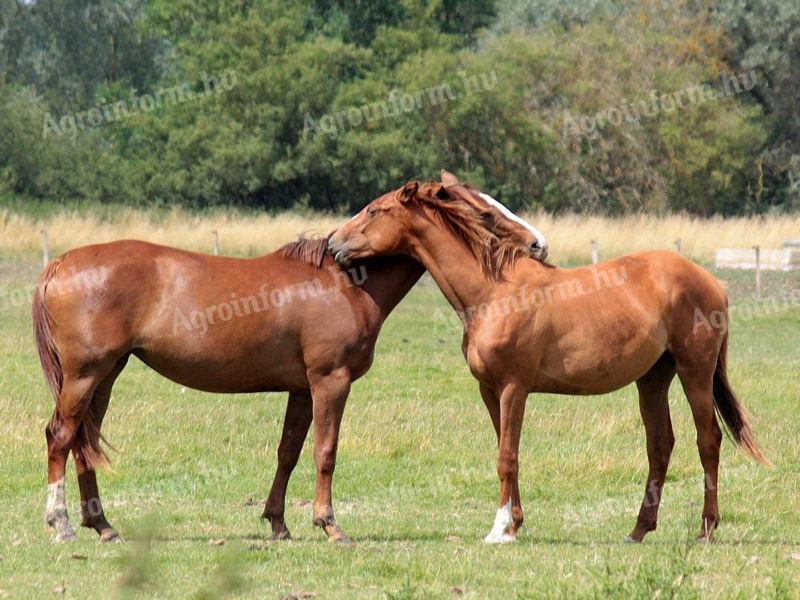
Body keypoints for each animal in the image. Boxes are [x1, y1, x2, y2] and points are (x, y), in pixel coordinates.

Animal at [34, 173, 540, 544]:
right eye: (482, 211)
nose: (538, 244)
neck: (344, 283)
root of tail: (60, 263)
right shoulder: (330, 381)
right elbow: (325, 452)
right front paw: (330, 526)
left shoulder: (301, 388)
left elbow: (289, 453)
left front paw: (278, 524)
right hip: (85, 375)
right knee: (60, 436)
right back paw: (61, 524)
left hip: (105, 376)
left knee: (82, 442)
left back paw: (103, 526)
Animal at [330, 176, 768, 548]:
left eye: (374, 210)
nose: (334, 243)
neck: (494, 292)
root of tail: (713, 283)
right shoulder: (490, 390)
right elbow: (507, 450)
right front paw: (514, 525)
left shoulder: (514, 388)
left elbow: (506, 457)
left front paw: (498, 530)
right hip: (653, 378)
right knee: (660, 445)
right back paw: (638, 530)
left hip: (695, 372)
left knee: (708, 440)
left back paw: (706, 529)